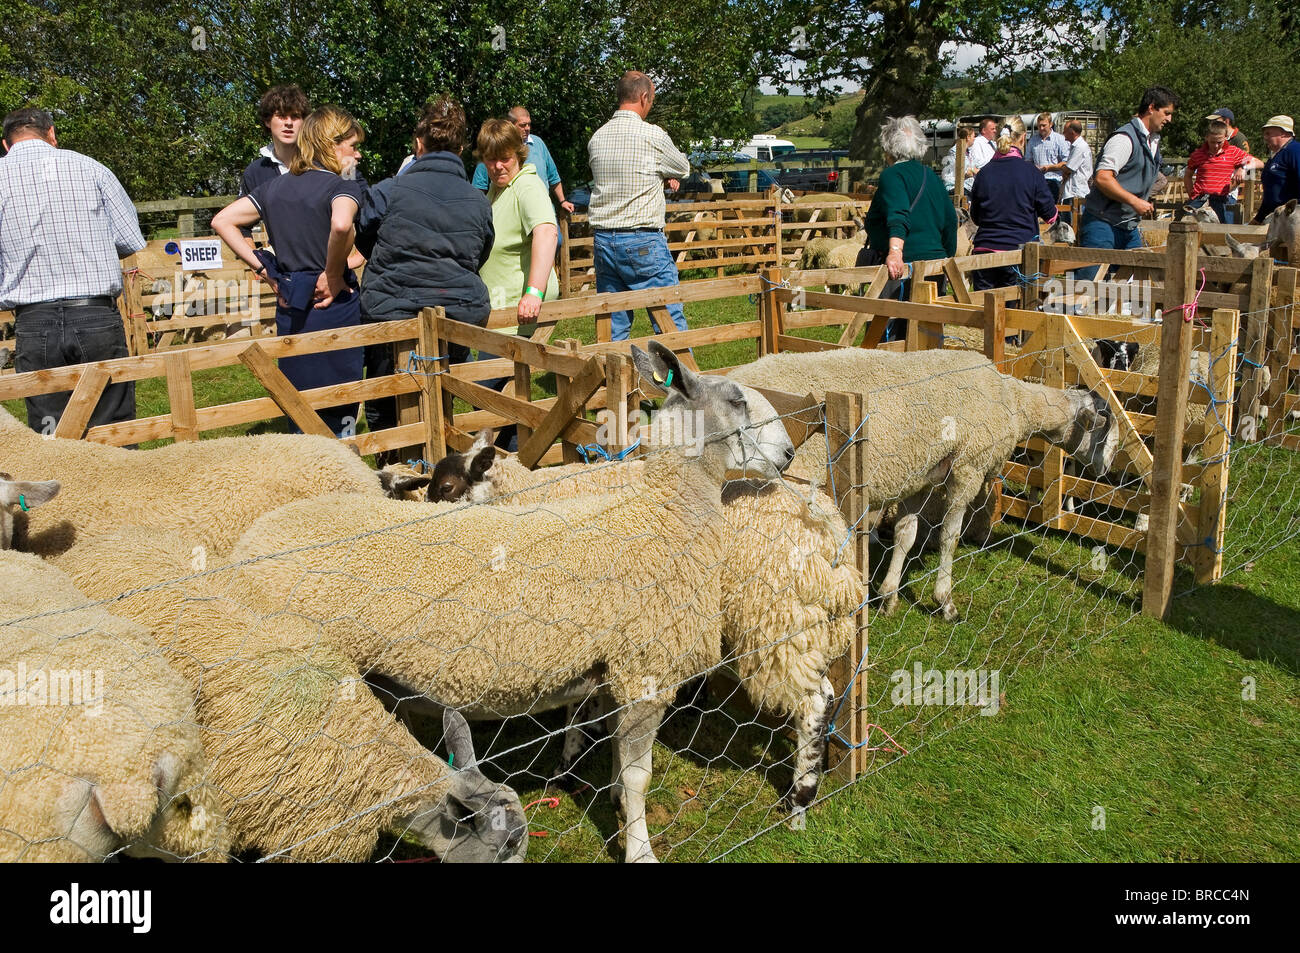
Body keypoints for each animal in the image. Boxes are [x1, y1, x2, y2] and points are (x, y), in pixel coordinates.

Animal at [224, 343, 790, 863]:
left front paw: (609, 798)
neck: (659, 514)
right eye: (737, 400)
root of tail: (250, 541)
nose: (787, 455)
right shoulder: (645, 667)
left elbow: (614, 754)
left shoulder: (617, 668)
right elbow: (639, 778)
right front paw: (639, 848)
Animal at [733, 345, 1118, 621]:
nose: (1106, 471)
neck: (1012, 403)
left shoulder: (918, 476)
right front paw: (944, 602)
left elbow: (905, 535)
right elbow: (949, 537)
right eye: (1103, 427)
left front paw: (888, 596)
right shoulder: (967, 466)